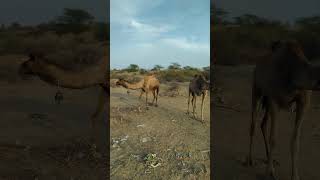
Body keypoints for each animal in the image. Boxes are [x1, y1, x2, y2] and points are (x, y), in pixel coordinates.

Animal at [249, 39, 320, 180]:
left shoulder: (304, 103)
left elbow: (295, 141)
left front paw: (295, 176)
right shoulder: (274, 100)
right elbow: (273, 139)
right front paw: (269, 173)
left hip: (267, 101)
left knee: (263, 123)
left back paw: (270, 159)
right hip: (257, 91)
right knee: (253, 124)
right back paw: (249, 160)